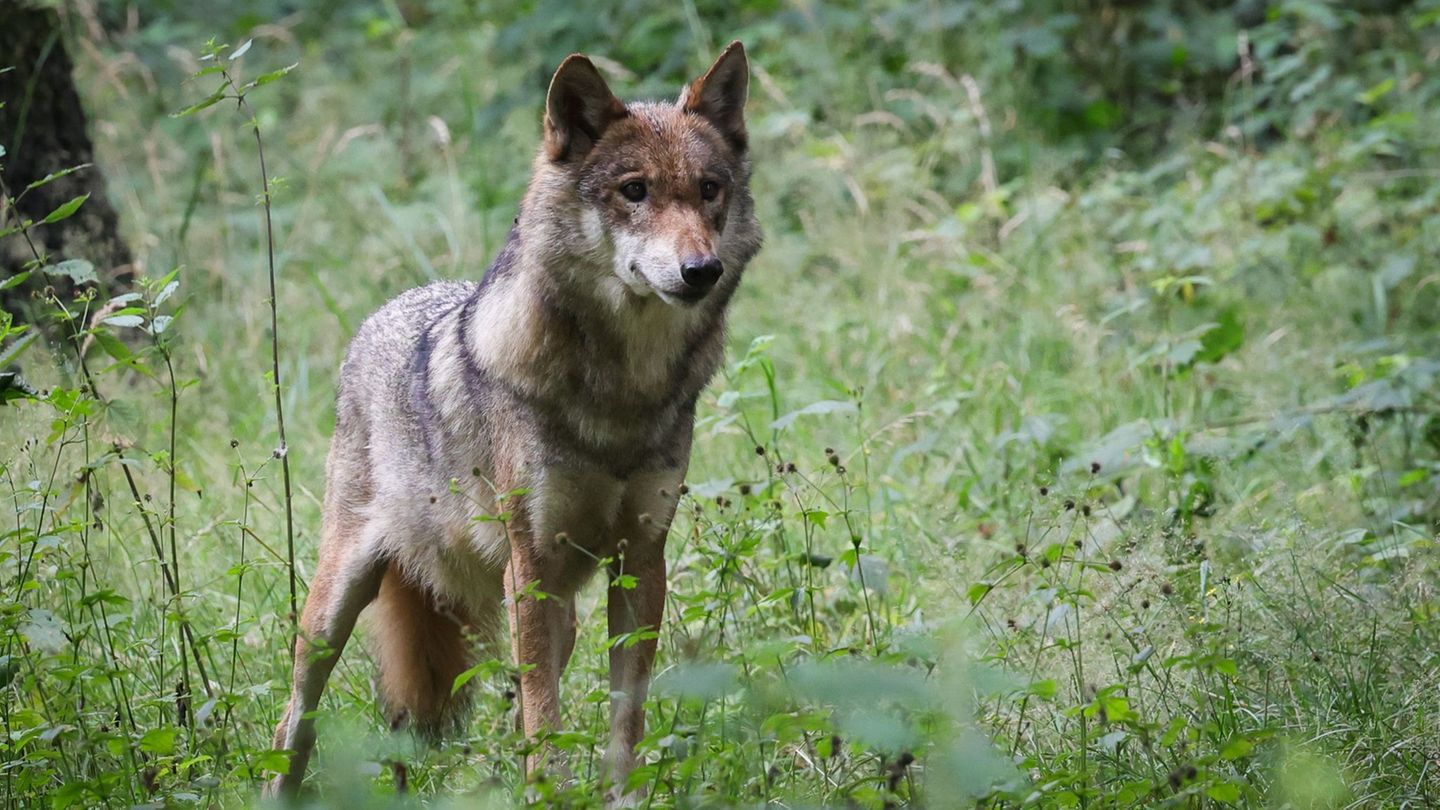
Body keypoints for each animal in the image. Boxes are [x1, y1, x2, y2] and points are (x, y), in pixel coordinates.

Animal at [267, 42, 761, 800]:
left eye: (709, 189)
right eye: (635, 191)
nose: (699, 270)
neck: (622, 392)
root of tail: (385, 310)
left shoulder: (640, 563)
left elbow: (624, 720)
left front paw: (618, 801)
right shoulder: (528, 567)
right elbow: (544, 725)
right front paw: (549, 795)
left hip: (558, 612)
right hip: (335, 611)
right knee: (293, 722)